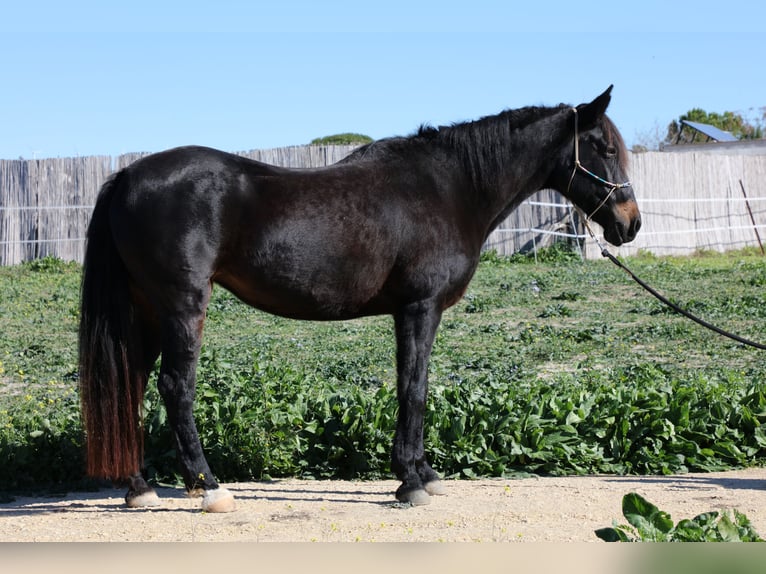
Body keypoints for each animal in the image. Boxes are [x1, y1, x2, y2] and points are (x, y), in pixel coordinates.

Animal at [78, 85, 640, 512]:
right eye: (605, 148)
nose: (629, 224)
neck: (450, 188)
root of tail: (126, 177)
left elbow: (411, 387)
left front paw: (421, 473)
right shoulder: (419, 308)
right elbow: (414, 388)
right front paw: (411, 481)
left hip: (147, 311)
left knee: (130, 385)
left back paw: (140, 488)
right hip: (181, 306)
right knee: (175, 387)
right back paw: (210, 488)